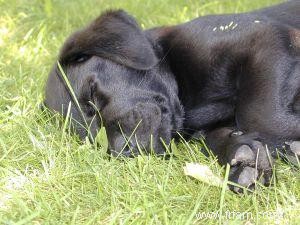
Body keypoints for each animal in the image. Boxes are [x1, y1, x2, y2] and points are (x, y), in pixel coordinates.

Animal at [44, 0, 300, 192]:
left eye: (92, 94)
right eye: (92, 140)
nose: (124, 152)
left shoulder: (265, 40)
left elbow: (257, 115)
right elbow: (216, 138)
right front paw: (245, 158)